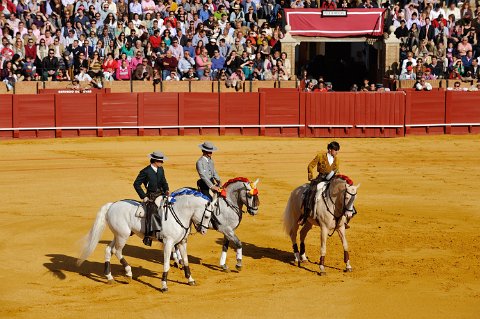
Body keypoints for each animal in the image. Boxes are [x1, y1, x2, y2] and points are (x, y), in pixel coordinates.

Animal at [77, 192, 216, 292]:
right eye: (207, 216)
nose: (204, 231)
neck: (179, 214)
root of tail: (112, 205)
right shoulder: (168, 243)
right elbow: (166, 264)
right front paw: (164, 285)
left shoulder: (182, 242)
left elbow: (186, 261)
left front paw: (190, 280)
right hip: (123, 235)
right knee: (117, 251)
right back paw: (128, 273)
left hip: (118, 235)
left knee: (108, 249)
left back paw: (109, 277)